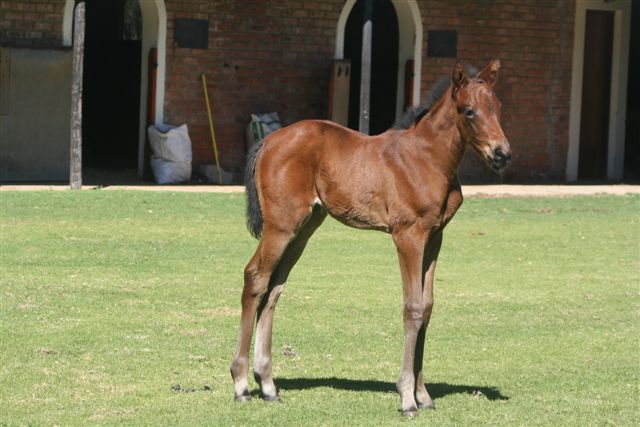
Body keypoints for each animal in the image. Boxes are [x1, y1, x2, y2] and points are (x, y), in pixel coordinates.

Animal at [230, 58, 510, 416]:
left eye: (497, 107)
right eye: (469, 111)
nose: (501, 154)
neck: (428, 159)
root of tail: (268, 141)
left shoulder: (435, 238)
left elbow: (428, 306)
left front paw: (424, 395)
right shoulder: (408, 235)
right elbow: (413, 307)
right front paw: (407, 399)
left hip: (304, 229)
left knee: (274, 288)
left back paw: (267, 385)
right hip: (281, 226)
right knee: (255, 278)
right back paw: (241, 385)